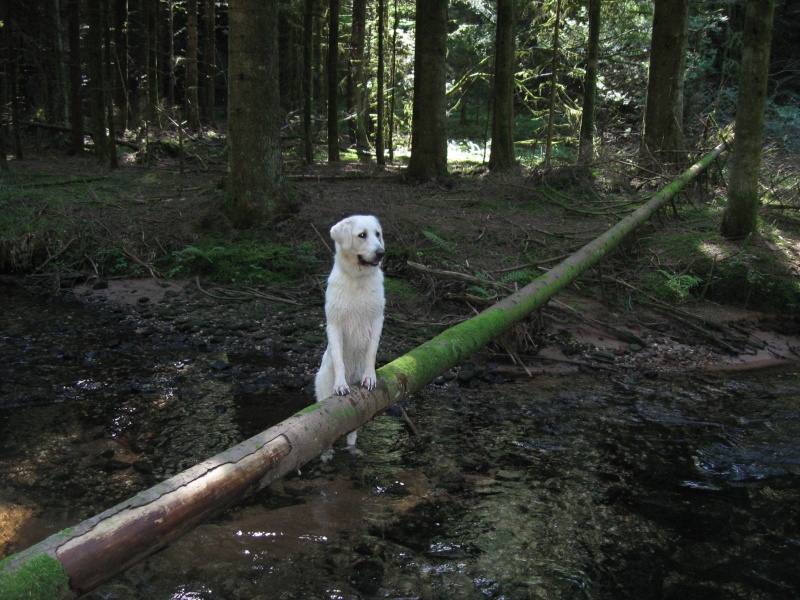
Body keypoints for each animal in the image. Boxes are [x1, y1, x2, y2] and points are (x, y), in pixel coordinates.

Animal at [314, 216, 386, 454]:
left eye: (378, 234)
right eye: (362, 235)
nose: (381, 252)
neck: (358, 279)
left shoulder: (377, 320)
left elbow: (371, 353)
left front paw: (369, 377)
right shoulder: (335, 324)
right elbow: (339, 359)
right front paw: (341, 384)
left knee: (352, 431)